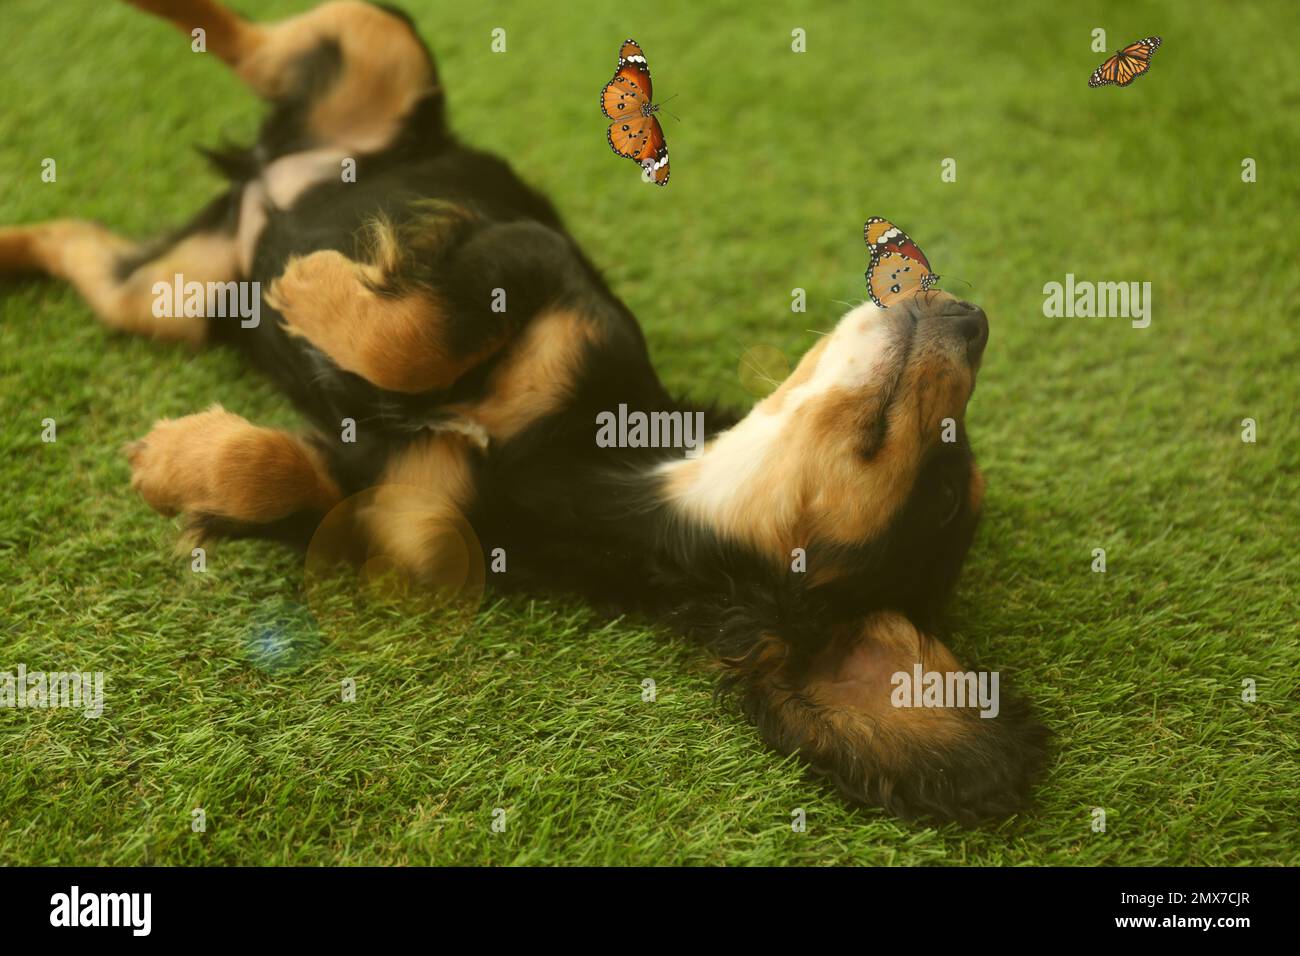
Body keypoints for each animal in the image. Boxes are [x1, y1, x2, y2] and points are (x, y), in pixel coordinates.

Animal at [0, 0, 1045, 822]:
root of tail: (260, 174)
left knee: (77, 241)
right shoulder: (533, 266)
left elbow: (286, 472)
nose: (978, 319)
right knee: (255, 37)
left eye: (944, 490)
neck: (606, 469)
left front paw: (179, 460)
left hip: (163, 297)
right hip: (382, 58)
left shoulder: (398, 501)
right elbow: (419, 336)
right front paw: (312, 292)